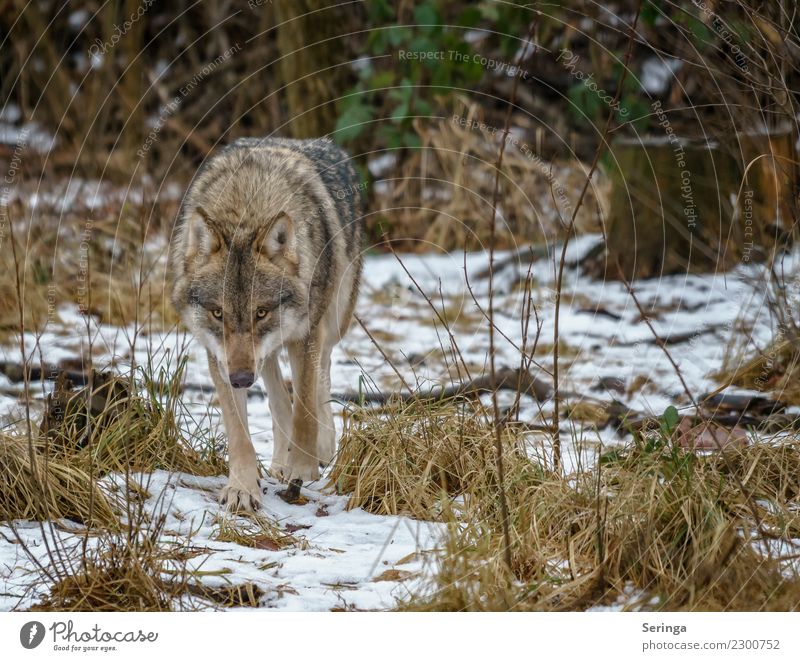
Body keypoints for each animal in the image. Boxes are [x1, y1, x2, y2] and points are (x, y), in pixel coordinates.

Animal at [172, 138, 366, 510]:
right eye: (218, 313)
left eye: (261, 312)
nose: (241, 379)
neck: (246, 210)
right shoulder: (219, 355)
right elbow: (239, 433)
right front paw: (242, 488)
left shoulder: (306, 335)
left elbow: (304, 411)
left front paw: (303, 471)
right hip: (266, 354)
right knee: (277, 392)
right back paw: (279, 461)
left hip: (333, 320)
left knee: (322, 374)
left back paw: (322, 447)